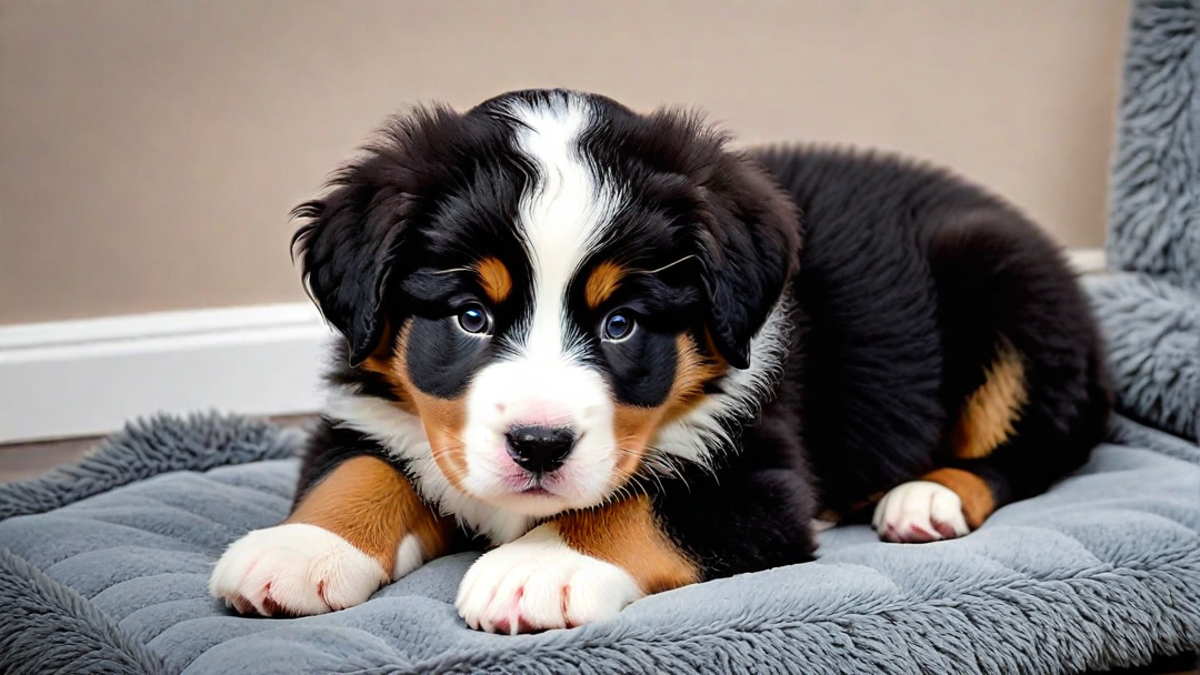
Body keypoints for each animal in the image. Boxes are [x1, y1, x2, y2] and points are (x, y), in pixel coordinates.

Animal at [208, 88, 1113, 629]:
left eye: (621, 324)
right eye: (470, 316)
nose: (539, 446)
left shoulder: (761, 479)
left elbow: (638, 506)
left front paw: (537, 567)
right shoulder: (369, 407)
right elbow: (357, 470)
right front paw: (297, 550)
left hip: (1001, 280)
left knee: (1033, 450)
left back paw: (927, 497)